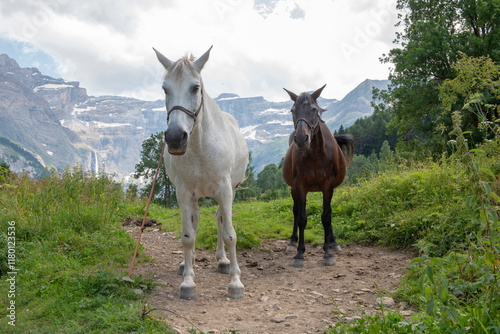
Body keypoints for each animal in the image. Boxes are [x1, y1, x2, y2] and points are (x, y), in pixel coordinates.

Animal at [153, 46, 249, 300]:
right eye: (165, 89)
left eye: (195, 87)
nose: (175, 138)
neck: (200, 147)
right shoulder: (184, 192)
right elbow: (188, 236)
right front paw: (188, 281)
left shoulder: (225, 190)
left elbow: (230, 234)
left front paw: (235, 282)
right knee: (195, 221)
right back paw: (188, 263)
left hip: (228, 191)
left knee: (220, 219)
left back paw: (223, 260)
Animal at [282, 85, 356, 268]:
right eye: (293, 110)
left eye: (314, 110)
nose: (301, 139)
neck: (315, 153)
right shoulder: (300, 185)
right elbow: (302, 218)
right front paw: (299, 253)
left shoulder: (327, 186)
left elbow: (326, 217)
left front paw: (328, 252)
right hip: (293, 189)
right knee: (296, 212)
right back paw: (292, 242)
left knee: (328, 213)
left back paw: (333, 242)